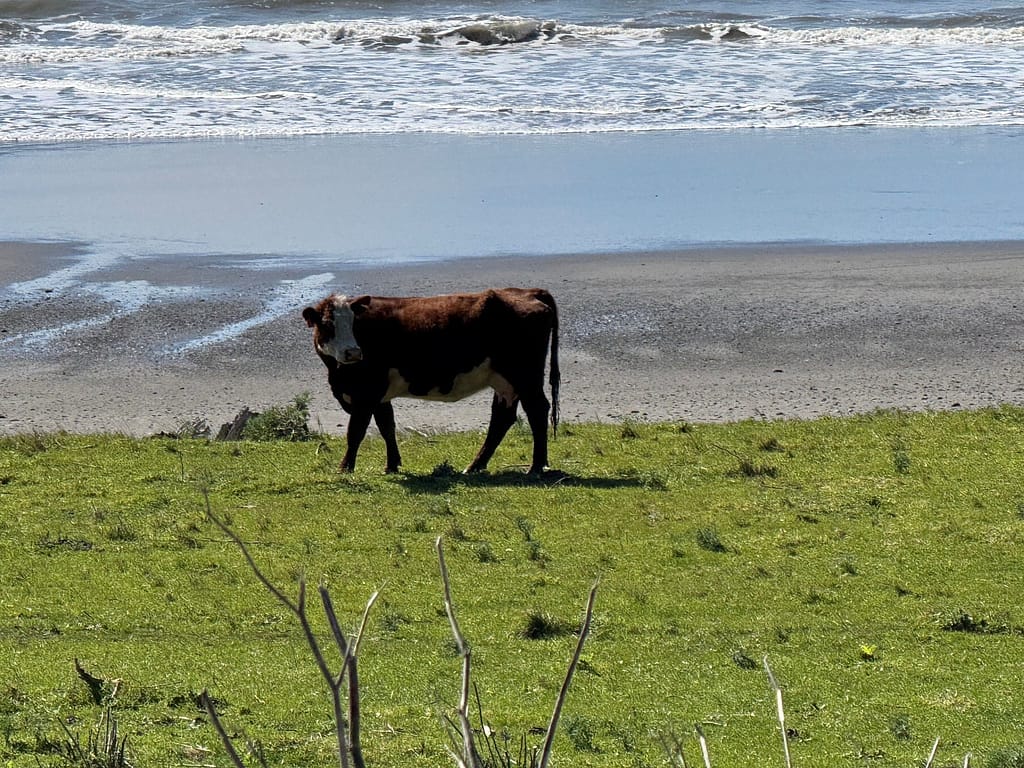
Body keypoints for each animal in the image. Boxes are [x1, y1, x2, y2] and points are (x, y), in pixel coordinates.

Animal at [302, 287, 560, 475]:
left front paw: (345, 467)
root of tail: (527, 291)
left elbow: (355, 431)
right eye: (327, 325)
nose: (353, 352)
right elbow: (387, 427)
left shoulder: (367, 393)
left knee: (537, 411)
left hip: (526, 377)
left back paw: (536, 466)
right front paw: (392, 465)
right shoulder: (379, 395)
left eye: (354, 323)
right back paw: (475, 466)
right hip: (505, 382)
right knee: (502, 419)